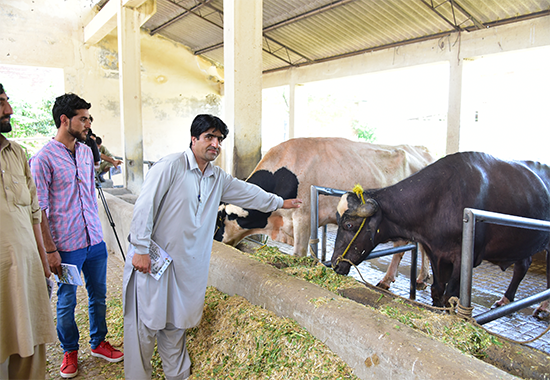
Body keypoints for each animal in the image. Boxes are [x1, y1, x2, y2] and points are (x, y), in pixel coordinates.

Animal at [213, 138, 438, 290]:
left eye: (219, 220)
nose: (215, 241)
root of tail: (423, 150)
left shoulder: (303, 217)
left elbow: (299, 253)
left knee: (403, 247)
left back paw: (388, 280)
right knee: (422, 247)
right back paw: (422, 276)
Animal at [332, 150, 550, 308]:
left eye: (349, 225)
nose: (334, 264)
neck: (440, 198)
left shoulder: (464, 259)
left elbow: (449, 296)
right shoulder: (436, 254)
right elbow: (437, 290)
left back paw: (543, 307)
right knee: (523, 265)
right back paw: (507, 299)